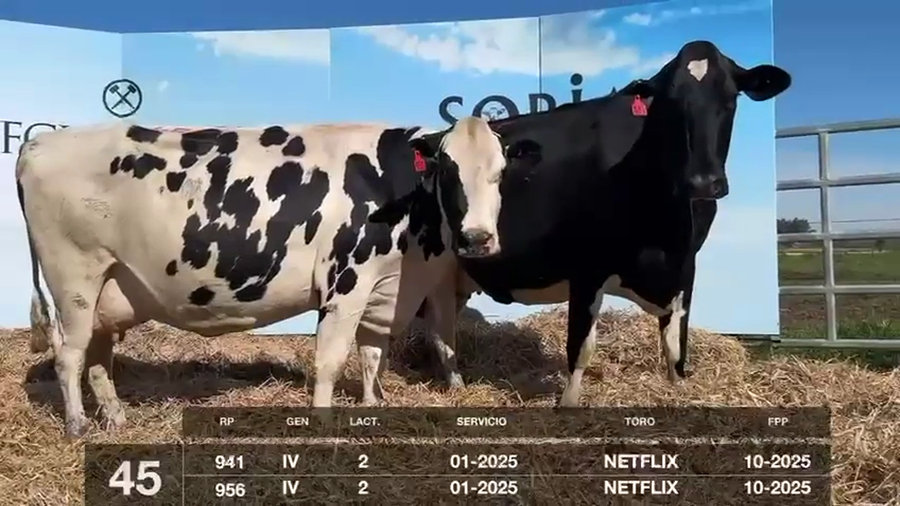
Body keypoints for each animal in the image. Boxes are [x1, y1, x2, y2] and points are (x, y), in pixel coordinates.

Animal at [16, 117, 513, 439]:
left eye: (501, 172)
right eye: (447, 169)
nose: (478, 239)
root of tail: (40, 143)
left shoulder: (381, 287)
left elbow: (373, 357)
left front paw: (373, 410)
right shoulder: (346, 283)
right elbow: (331, 361)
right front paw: (323, 424)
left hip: (109, 284)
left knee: (98, 358)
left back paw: (117, 420)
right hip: (74, 277)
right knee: (69, 355)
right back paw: (78, 427)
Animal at [375, 40, 792, 406]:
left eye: (730, 99)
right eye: (671, 103)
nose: (704, 182)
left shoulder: (685, 264)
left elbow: (676, 347)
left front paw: (677, 392)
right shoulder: (587, 267)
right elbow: (581, 346)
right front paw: (569, 403)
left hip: (454, 272)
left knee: (439, 328)